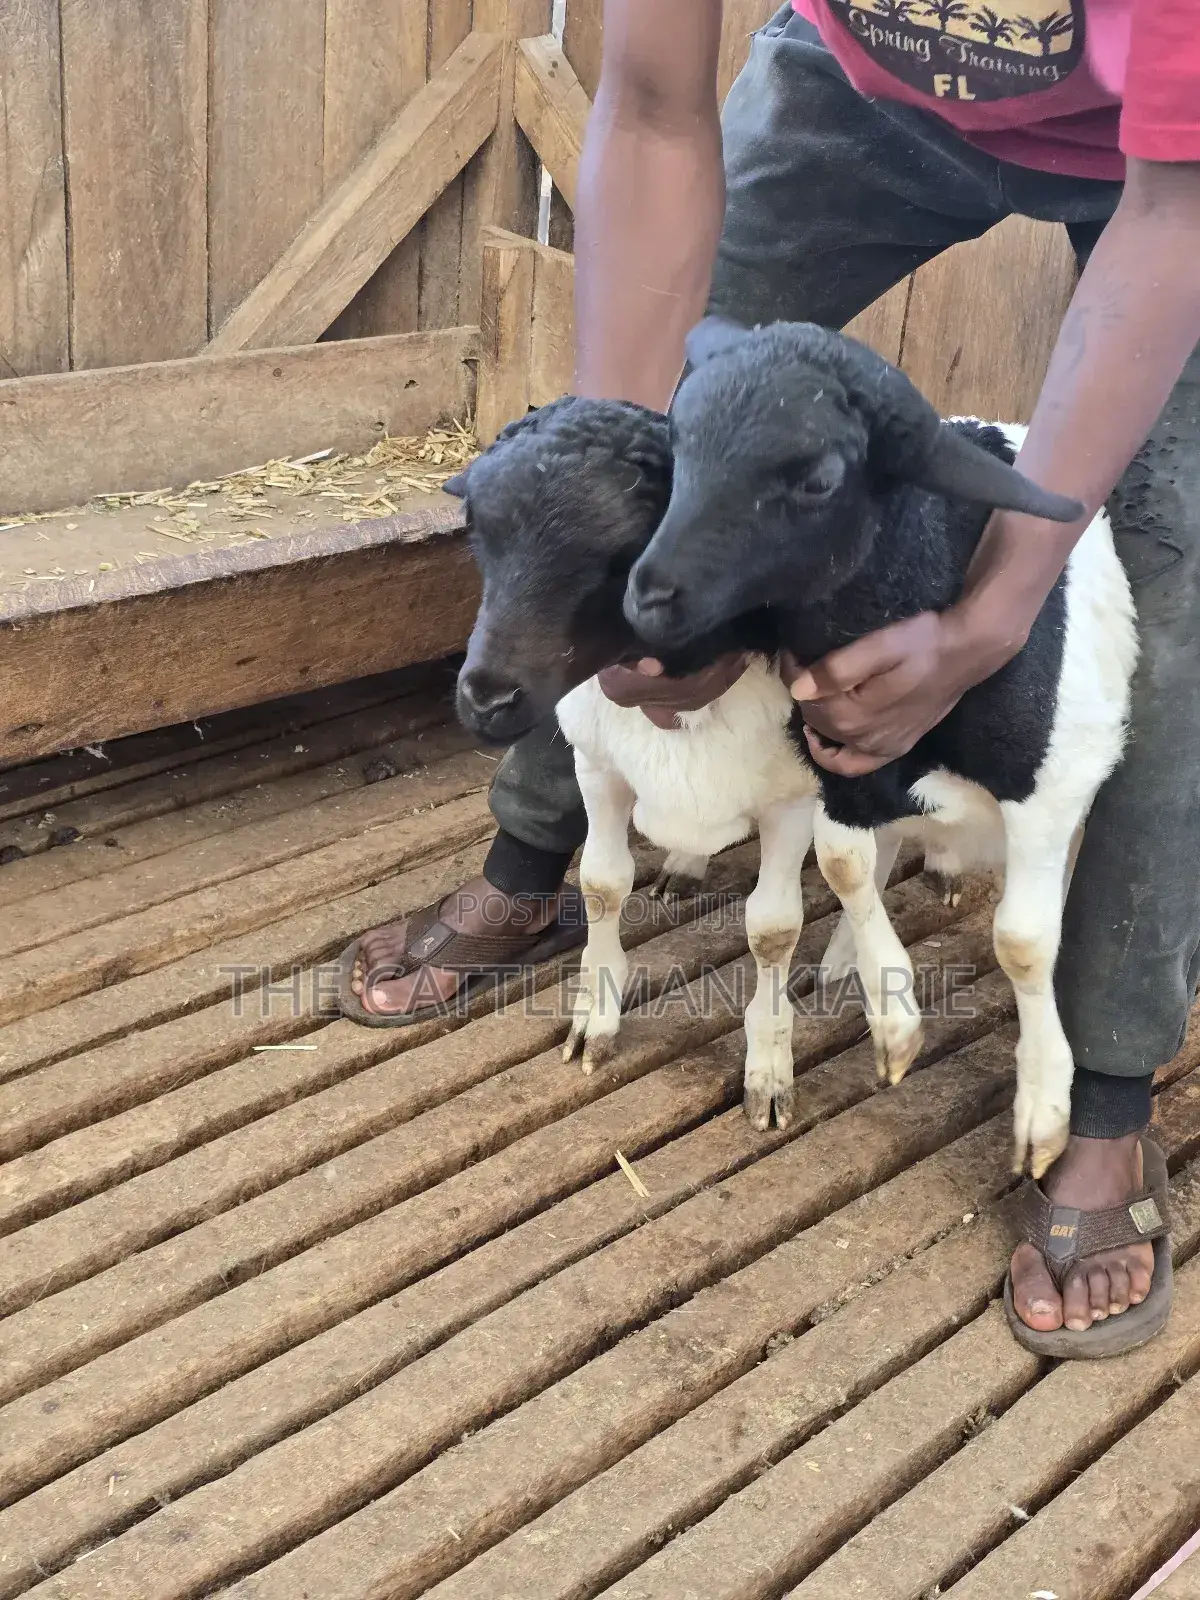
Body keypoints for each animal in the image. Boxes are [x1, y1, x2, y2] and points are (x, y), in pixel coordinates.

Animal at [447, 397, 831, 1131]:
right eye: (476, 530)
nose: (486, 700)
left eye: (623, 555)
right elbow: (602, 885)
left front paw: (769, 1071)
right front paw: (593, 1021)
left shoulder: (795, 797)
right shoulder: (597, 765)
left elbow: (773, 930)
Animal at [625, 316, 1138, 1179]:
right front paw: (893, 1020)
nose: (648, 594)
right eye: (678, 441)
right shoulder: (840, 765)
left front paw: (1043, 1110)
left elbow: (1024, 942)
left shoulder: (1050, 786)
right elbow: (845, 866)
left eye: (818, 479)